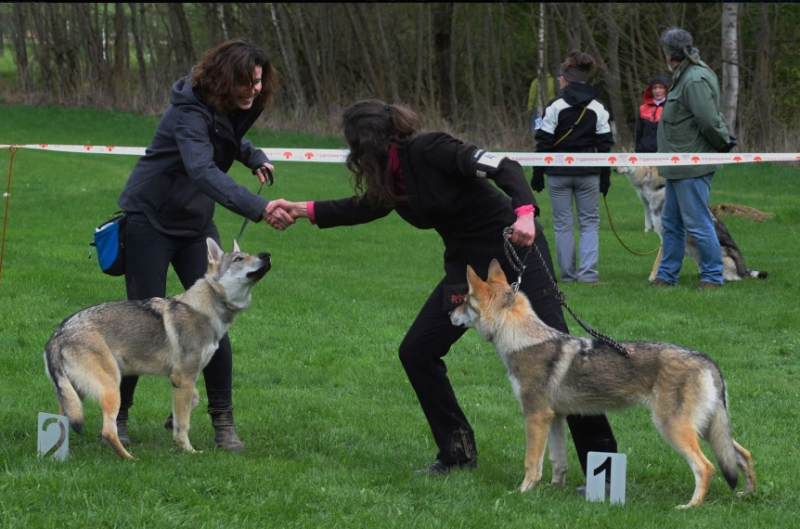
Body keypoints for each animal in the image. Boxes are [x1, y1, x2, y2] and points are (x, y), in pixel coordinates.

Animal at [45, 239, 270, 458]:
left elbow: (192, 402)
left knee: (60, 423)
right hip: (111, 388)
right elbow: (184, 424)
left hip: (76, 395)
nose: (266, 255)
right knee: (108, 431)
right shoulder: (184, 378)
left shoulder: (181, 379)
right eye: (239, 259)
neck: (205, 309)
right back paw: (130, 459)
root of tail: (58, 334)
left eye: (250, 255)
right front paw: (189, 450)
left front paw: (171, 420)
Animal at [450, 260, 756, 508]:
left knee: (706, 467)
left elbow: (531, 463)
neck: (521, 339)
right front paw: (553, 490)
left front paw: (523, 493)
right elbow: (557, 462)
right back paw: (747, 495)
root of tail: (706, 359)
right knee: (742, 455)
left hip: (674, 428)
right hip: (705, 428)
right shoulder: (555, 417)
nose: (449, 314)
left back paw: (690, 507)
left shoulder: (535, 416)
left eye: (463, 301)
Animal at [612, 164, 768, 280]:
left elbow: (658, 262)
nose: (614, 169)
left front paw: (654, 279)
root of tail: (744, 271)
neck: (660, 188)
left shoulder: (668, 235)